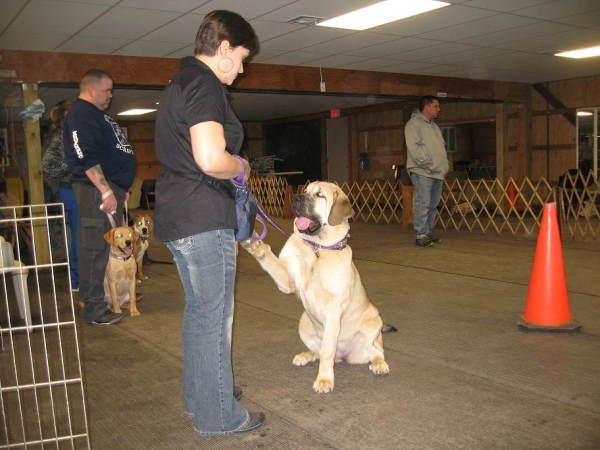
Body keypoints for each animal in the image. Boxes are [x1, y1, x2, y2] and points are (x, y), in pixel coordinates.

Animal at [241, 181, 392, 392]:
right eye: (305, 191)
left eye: (320, 195)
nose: (295, 198)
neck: (317, 249)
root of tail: (344, 356)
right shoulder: (288, 280)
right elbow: (270, 261)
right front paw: (255, 245)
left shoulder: (334, 309)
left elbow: (328, 348)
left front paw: (324, 380)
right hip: (304, 322)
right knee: (319, 352)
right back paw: (305, 356)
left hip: (373, 320)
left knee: (376, 350)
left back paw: (379, 364)